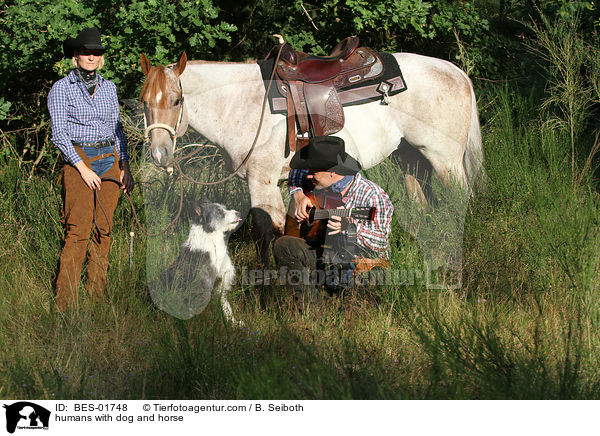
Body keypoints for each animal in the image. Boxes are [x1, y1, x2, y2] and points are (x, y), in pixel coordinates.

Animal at [141, 47, 482, 266]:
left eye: (177, 100)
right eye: (144, 100)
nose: (159, 153)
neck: (240, 102)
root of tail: (456, 71)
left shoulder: (261, 182)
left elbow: (268, 233)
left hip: (445, 161)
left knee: (458, 203)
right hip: (410, 160)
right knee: (422, 208)